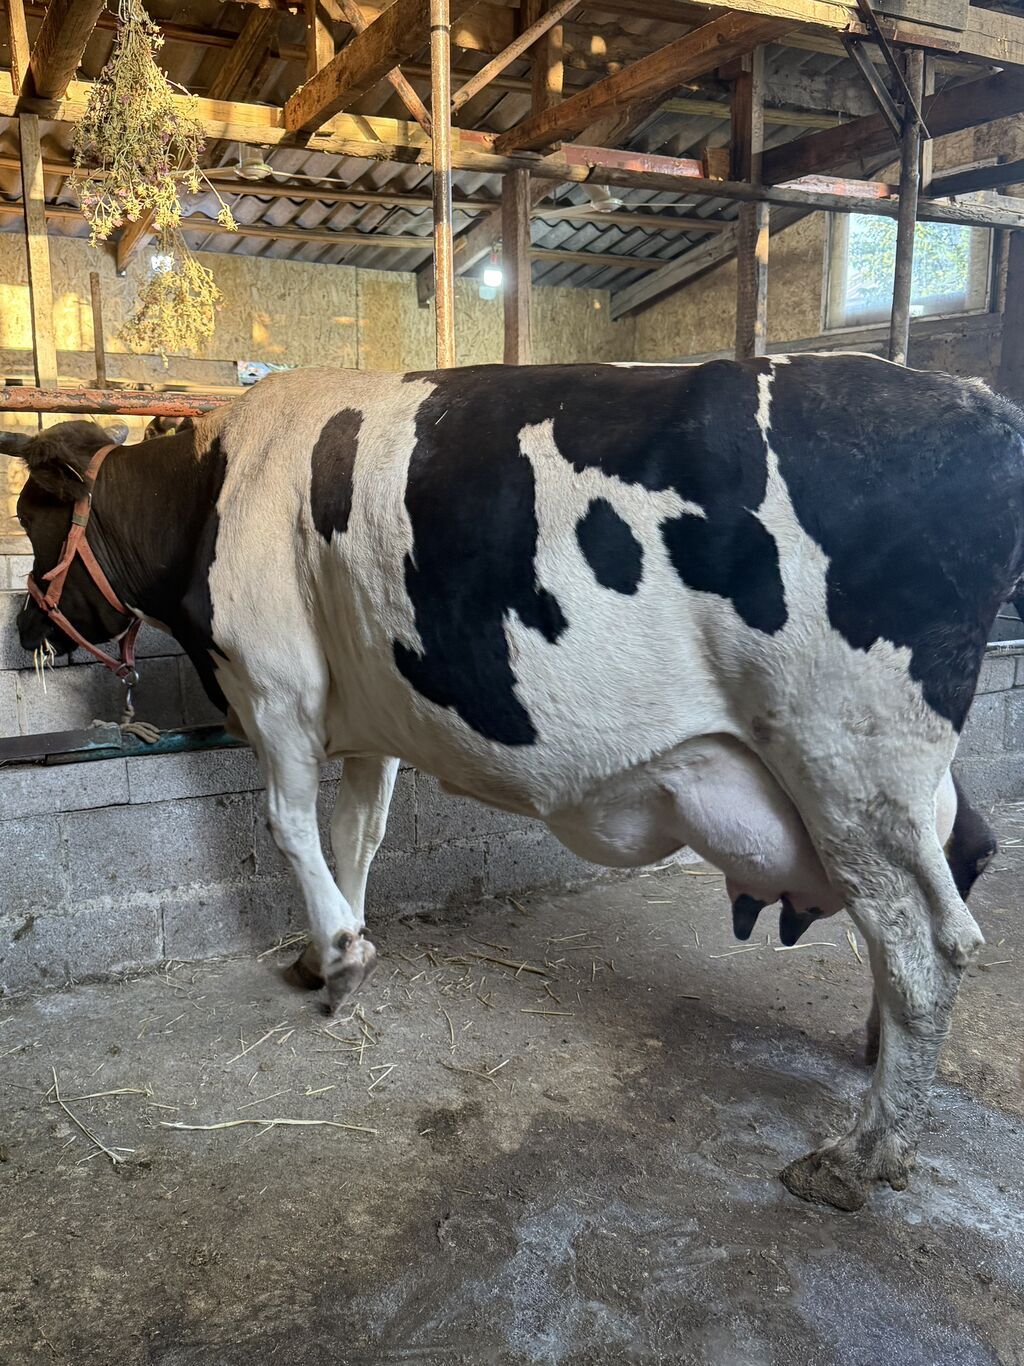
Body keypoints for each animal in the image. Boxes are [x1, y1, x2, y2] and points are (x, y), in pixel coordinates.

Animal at [3, 354, 1022, 1213]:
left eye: (31, 517)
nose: (26, 626)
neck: (209, 488)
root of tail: (979, 401)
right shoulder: (370, 716)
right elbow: (354, 834)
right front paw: (332, 945)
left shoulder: (273, 684)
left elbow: (291, 825)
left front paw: (338, 959)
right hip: (886, 772)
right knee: (961, 852)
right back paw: (878, 1065)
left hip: (848, 755)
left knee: (928, 941)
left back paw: (861, 1154)